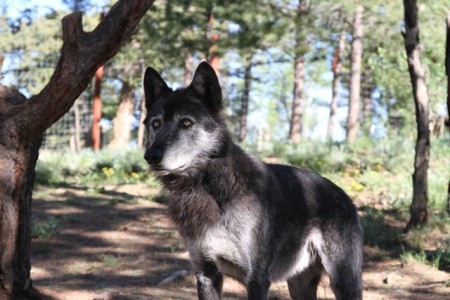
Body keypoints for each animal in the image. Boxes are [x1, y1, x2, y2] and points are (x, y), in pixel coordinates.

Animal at [145, 62, 366, 298]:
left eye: (186, 122)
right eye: (156, 124)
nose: (150, 156)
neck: (209, 186)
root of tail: (344, 196)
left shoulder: (257, 280)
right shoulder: (206, 274)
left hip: (343, 282)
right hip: (299, 285)